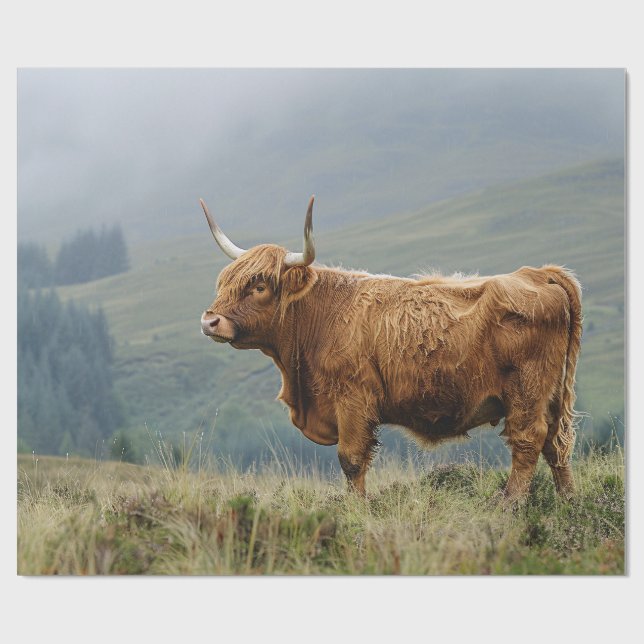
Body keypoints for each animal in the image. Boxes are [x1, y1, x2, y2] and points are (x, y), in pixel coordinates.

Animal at [199, 196, 582, 503]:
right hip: (551, 395)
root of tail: (537, 273)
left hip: (527, 390)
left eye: (259, 287)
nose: (210, 321)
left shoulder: (352, 399)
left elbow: (351, 460)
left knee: (529, 441)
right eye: (224, 281)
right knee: (557, 445)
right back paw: (568, 502)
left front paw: (356, 509)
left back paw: (509, 504)